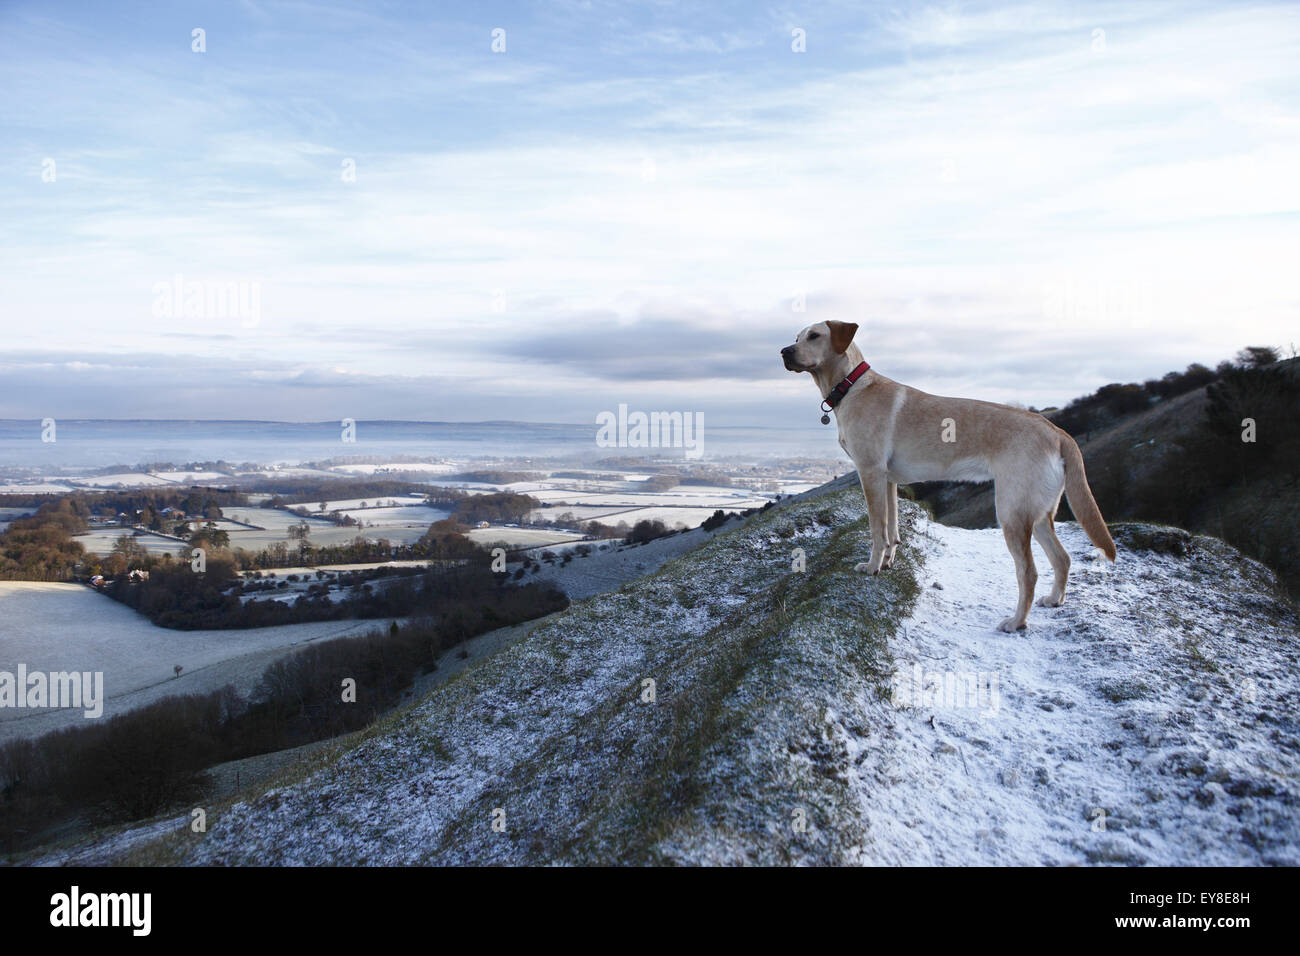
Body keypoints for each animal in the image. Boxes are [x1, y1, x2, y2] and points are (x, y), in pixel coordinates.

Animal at [780, 323, 1118, 634]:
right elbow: (892, 529)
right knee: (1062, 558)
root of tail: (1057, 432)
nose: (784, 351)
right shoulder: (888, 480)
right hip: (1038, 512)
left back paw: (1016, 622)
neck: (851, 385)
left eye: (814, 336)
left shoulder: (870, 472)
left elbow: (877, 529)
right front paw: (888, 562)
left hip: (1011, 511)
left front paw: (873, 567)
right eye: (796, 337)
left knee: (1029, 572)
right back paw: (1055, 599)